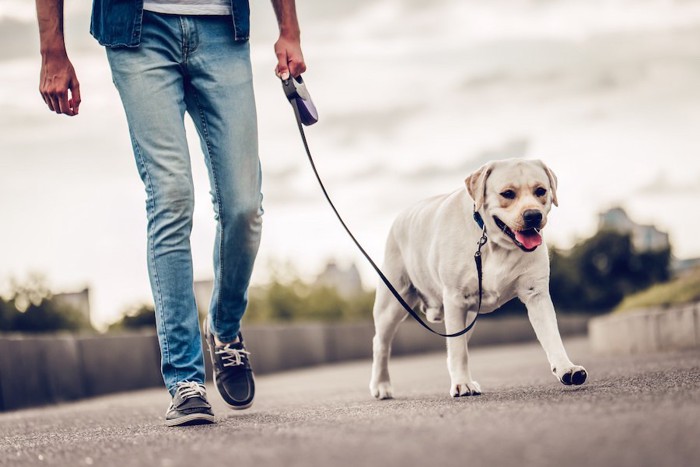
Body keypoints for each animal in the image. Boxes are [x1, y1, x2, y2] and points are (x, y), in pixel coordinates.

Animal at [370, 160, 588, 398]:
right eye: (507, 193)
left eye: (541, 191)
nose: (533, 215)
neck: (494, 243)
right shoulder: (456, 298)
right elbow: (458, 350)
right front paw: (462, 383)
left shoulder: (536, 294)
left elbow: (552, 336)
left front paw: (567, 368)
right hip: (392, 304)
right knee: (381, 344)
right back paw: (381, 385)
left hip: (466, 316)